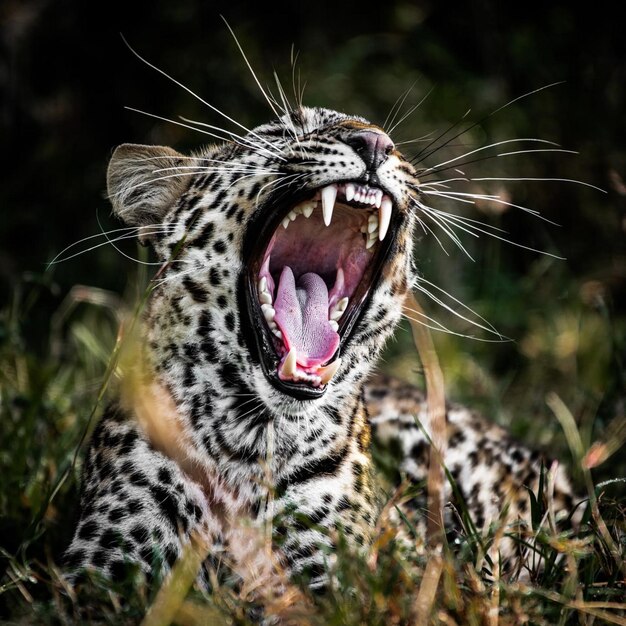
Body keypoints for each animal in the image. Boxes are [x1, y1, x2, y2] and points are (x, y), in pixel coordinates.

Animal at [66, 105, 576, 592]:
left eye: (391, 144)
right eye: (283, 131)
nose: (374, 142)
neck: (246, 446)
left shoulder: (342, 580)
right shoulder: (102, 569)